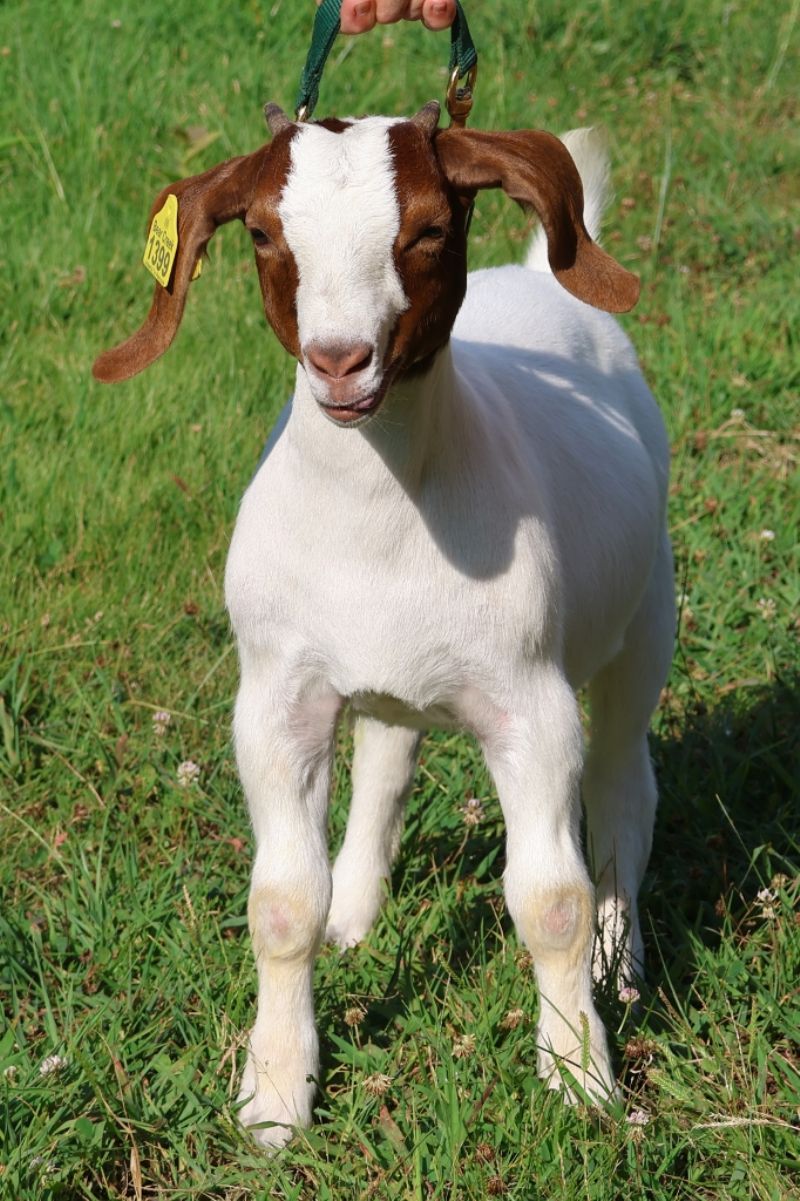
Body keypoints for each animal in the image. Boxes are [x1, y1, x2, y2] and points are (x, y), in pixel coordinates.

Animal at [94, 102, 675, 1148]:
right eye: (263, 233)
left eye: (430, 228)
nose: (338, 358)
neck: (381, 515)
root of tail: (539, 279)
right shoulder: (276, 699)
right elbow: (281, 904)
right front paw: (275, 1097)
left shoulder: (531, 707)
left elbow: (551, 901)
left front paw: (579, 1077)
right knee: (389, 760)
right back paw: (356, 914)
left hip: (645, 616)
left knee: (620, 790)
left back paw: (621, 963)